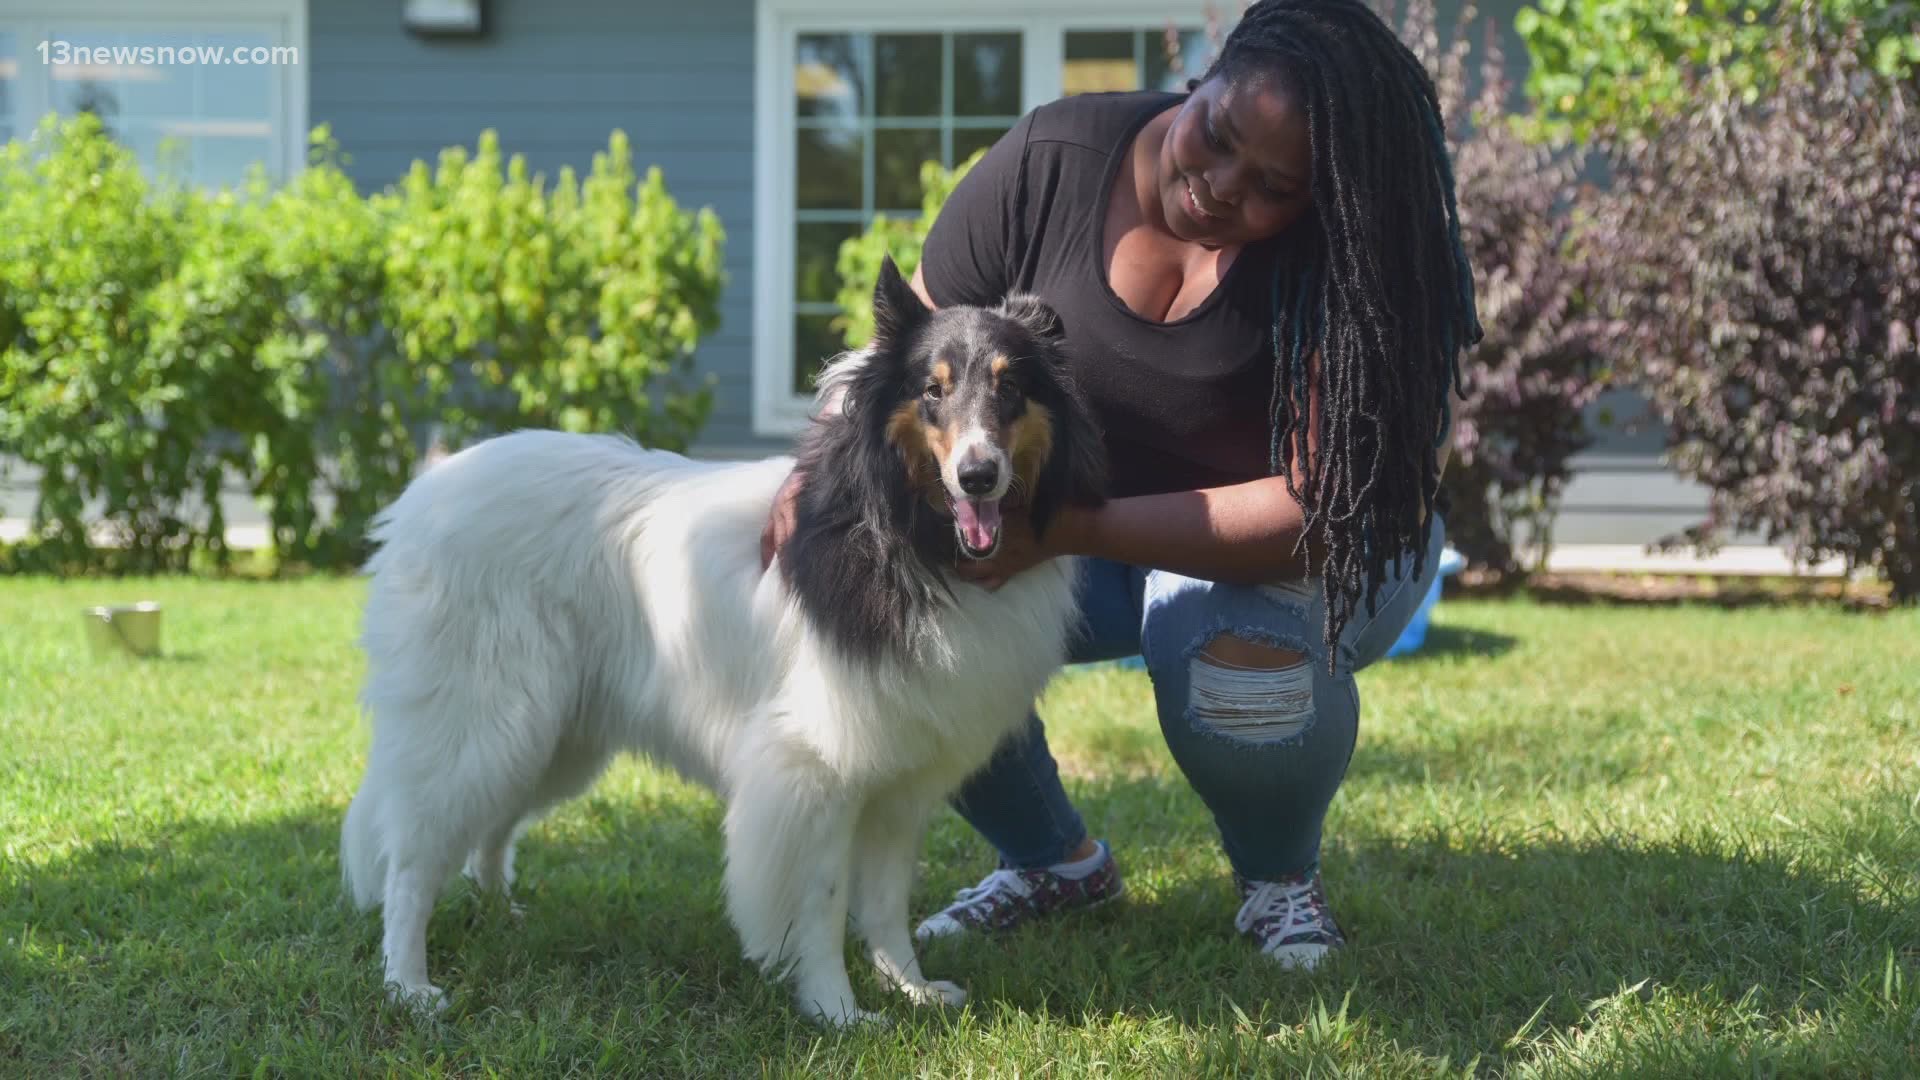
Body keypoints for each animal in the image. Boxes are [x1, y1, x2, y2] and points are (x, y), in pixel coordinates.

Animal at [337, 255, 1105, 1022]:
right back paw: (409, 986)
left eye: (1010, 388)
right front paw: (838, 1011)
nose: (979, 476)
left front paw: (911, 989)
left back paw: (502, 914)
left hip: (550, 734)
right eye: (931, 390)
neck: (901, 536)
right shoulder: (817, 769)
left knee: (490, 831)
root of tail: (426, 492)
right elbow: (822, 905)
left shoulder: (900, 780)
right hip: (484, 724)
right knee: (412, 862)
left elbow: (886, 902)